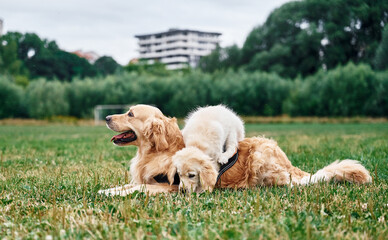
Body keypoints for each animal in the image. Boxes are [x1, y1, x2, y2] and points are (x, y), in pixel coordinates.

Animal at [98, 104, 372, 196]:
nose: (107, 116)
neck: (154, 153)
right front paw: (108, 190)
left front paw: (112, 194)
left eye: (130, 114)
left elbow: (139, 188)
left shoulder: (168, 186)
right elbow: (127, 185)